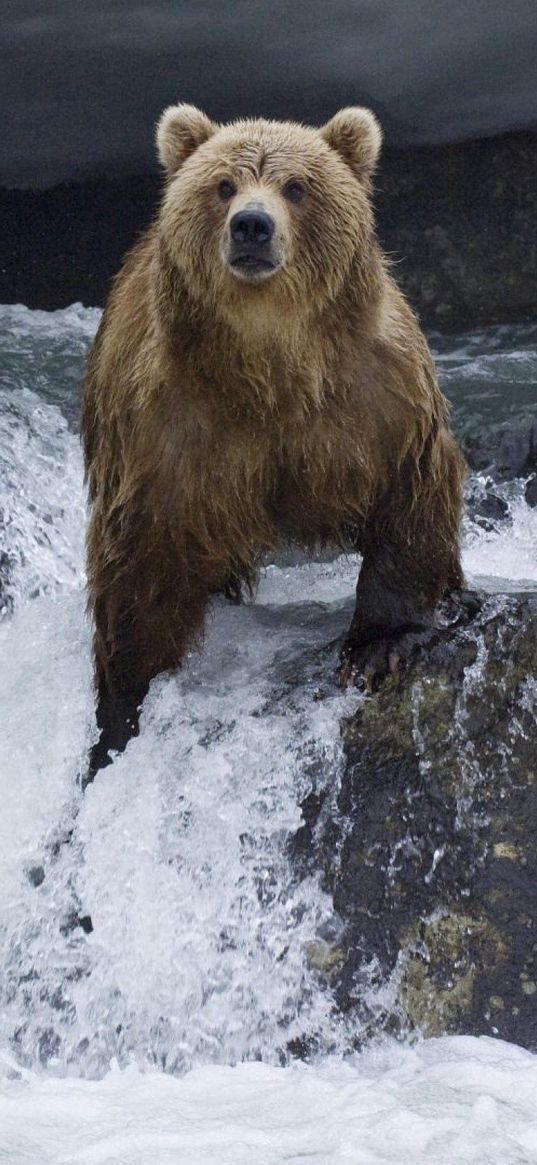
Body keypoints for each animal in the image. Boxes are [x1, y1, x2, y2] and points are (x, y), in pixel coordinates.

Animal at [83, 100, 463, 773]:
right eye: (223, 185)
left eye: (296, 187)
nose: (252, 227)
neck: (269, 363)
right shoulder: (164, 425)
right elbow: (139, 561)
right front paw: (122, 712)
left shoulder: (375, 394)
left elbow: (410, 493)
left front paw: (379, 646)